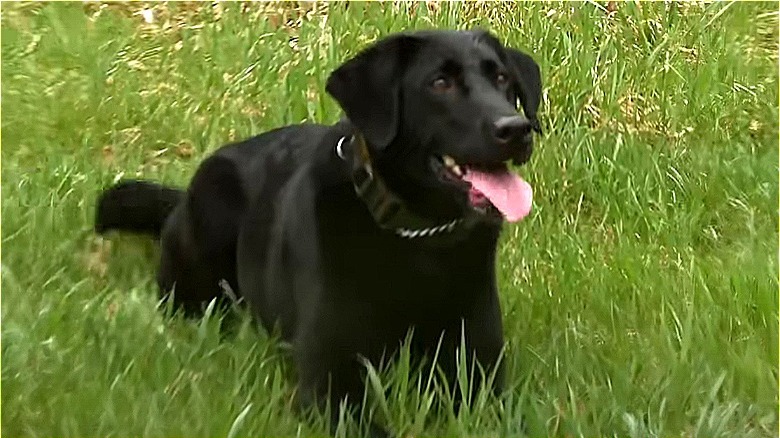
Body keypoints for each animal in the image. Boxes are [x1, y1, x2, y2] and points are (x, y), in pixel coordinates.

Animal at [94, 30, 540, 434]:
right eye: (440, 83)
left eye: (502, 79)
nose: (516, 128)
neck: (420, 240)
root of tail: (181, 199)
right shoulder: (329, 385)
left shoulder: (483, 377)